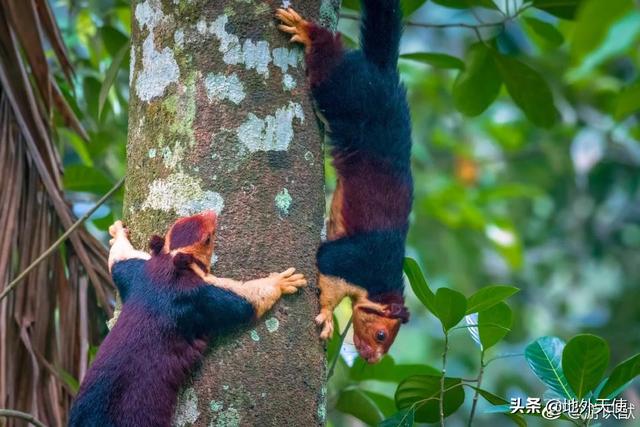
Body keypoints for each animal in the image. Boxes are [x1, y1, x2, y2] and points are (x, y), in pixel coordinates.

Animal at [70, 213, 308, 427]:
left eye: (181, 221)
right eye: (208, 238)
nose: (212, 215)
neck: (169, 268)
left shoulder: (137, 272)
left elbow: (118, 258)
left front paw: (117, 231)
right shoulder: (200, 296)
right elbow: (247, 301)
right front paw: (280, 282)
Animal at [278, 0, 412, 362]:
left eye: (388, 342)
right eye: (381, 334)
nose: (372, 359)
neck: (381, 284)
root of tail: (384, 72)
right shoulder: (358, 261)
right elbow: (326, 268)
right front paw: (325, 316)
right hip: (353, 93)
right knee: (332, 64)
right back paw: (309, 32)